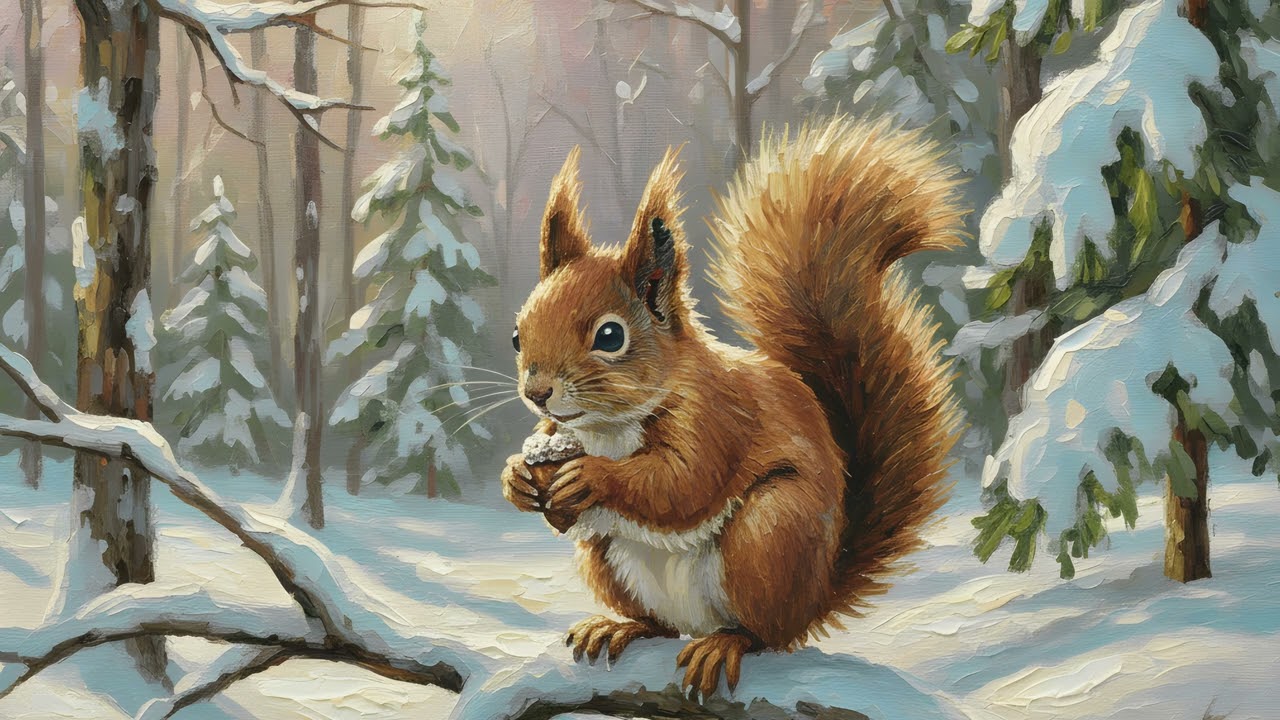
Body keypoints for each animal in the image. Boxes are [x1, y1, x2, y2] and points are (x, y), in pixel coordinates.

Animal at [501, 117, 965, 698]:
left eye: (610, 336)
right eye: (517, 337)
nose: (538, 392)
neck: (606, 429)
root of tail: (817, 596)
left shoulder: (718, 418)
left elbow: (683, 483)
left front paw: (592, 477)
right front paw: (517, 477)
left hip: (769, 535)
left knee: (763, 633)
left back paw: (725, 643)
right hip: (607, 559)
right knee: (658, 624)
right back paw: (620, 626)